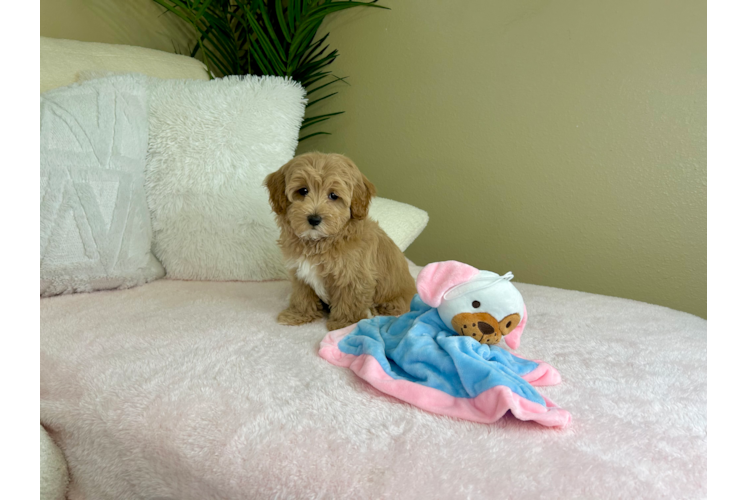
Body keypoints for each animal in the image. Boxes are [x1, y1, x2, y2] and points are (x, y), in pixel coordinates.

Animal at [264, 152, 418, 332]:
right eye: (303, 191)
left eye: (333, 196)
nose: (314, 219)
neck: (320, 242)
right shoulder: (300, 274)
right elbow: (303, 295)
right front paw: (297, 315)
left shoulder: (353, 275)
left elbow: (350, 300)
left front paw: (344, 324)